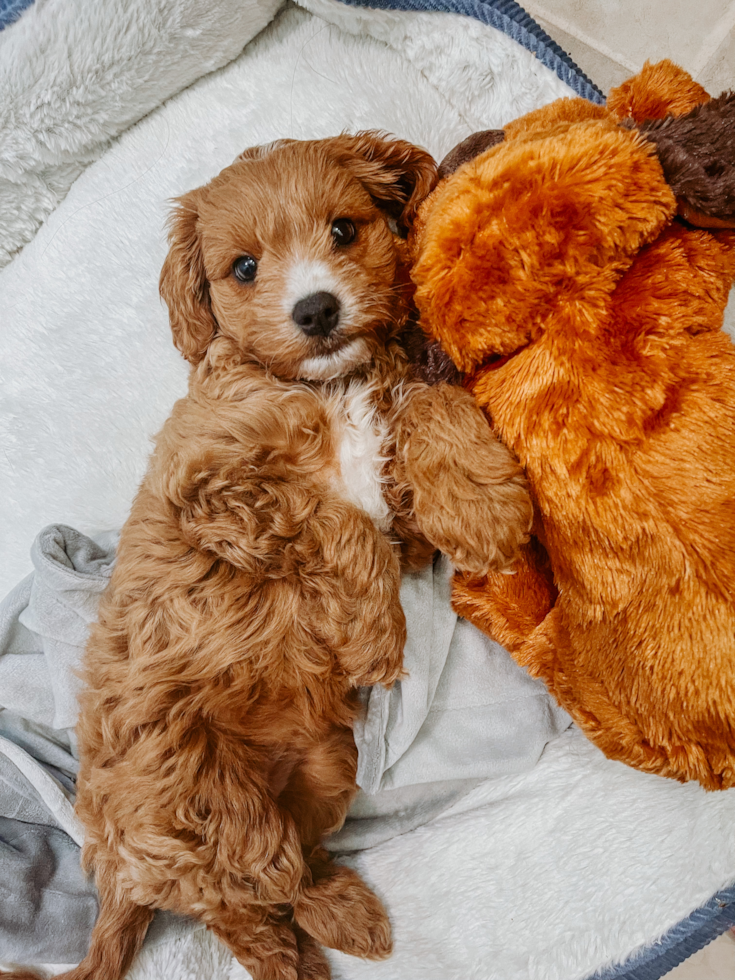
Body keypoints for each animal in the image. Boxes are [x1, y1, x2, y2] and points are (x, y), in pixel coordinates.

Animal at [0, 134, 528, 980]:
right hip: (199, 809)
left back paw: (342, 917)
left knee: (283, 873)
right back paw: (301, 951)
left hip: (322, 768)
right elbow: (333, 519)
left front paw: (480, 502)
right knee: (239, 900)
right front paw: (376, 637)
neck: (325, 387)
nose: (315, 309)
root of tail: (115, 868)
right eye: (244, 268)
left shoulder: (393, 513)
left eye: (344, 230)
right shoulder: (212, 492)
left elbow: (426, 401)